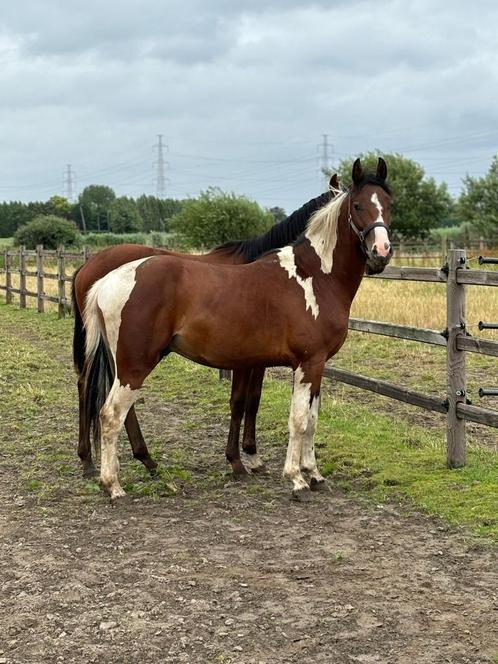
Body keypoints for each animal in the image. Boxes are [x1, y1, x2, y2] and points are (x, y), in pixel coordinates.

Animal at [80, 160, 392, 498]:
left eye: (389, 205)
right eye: (357, 205)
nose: (381, 252)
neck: (315, 277)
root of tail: (107, 280)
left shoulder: (314, 365)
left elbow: (311, 417)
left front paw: (314, 473)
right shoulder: (307, 363)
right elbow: (296, 418)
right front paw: (295, 477)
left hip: (121, 365)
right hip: (135, 366)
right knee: (111, 414)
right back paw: (113, 485)